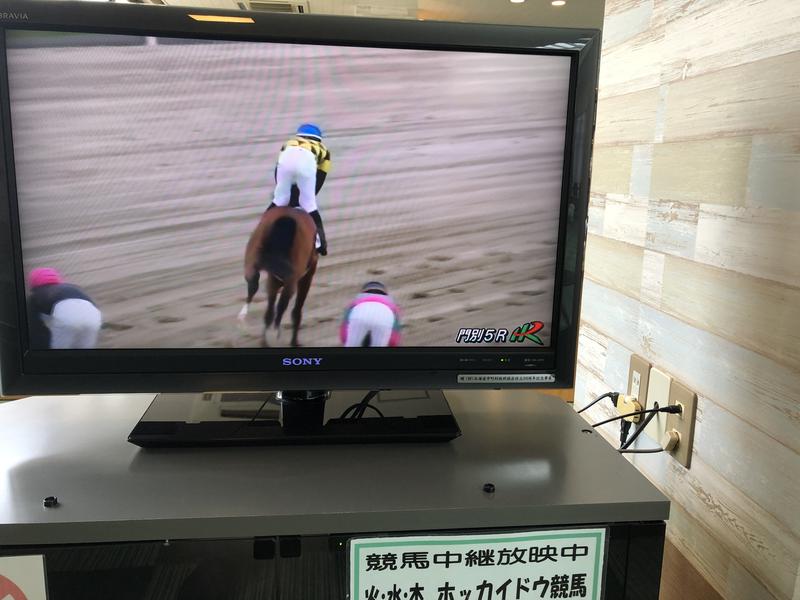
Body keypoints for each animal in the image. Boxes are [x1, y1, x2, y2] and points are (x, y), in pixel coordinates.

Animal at [238, 207, 318, 344]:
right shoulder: (306, 276)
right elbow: (296, 310)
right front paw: (294, 342)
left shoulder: (274, 275)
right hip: (293, 277)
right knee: (283, 302)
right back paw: (275, 332)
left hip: (252, 259)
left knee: (255, 287)